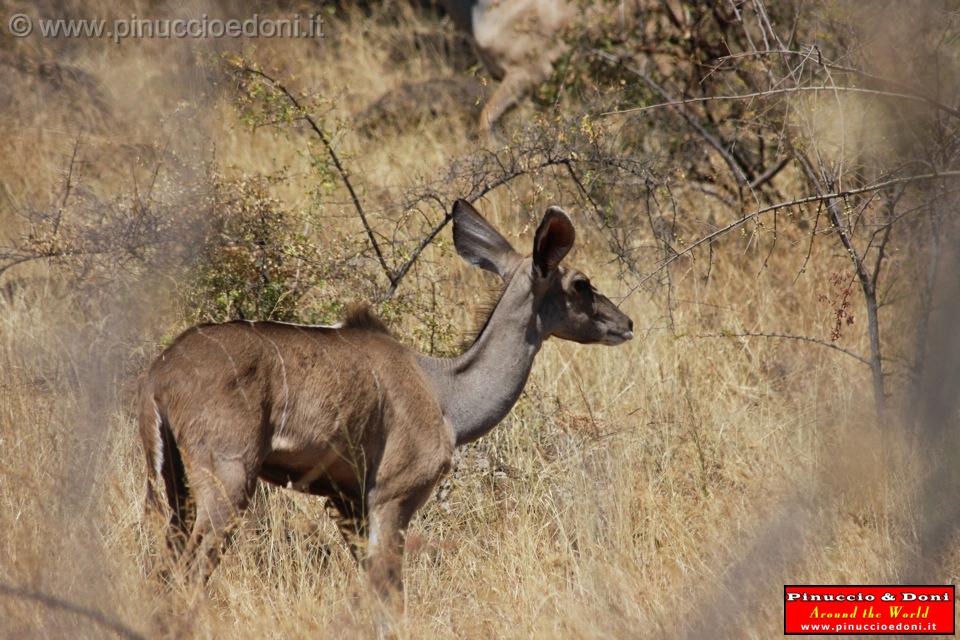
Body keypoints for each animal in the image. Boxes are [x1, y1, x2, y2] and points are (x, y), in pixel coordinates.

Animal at [135, 198, 632, 608]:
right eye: (581, 283)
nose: (626, 323)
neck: (445, 393)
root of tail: (159, 377)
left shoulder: (347, 502)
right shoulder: (393, 494)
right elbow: (388, 592)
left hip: (174, 488)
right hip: (228, 480)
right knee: (190, 570)